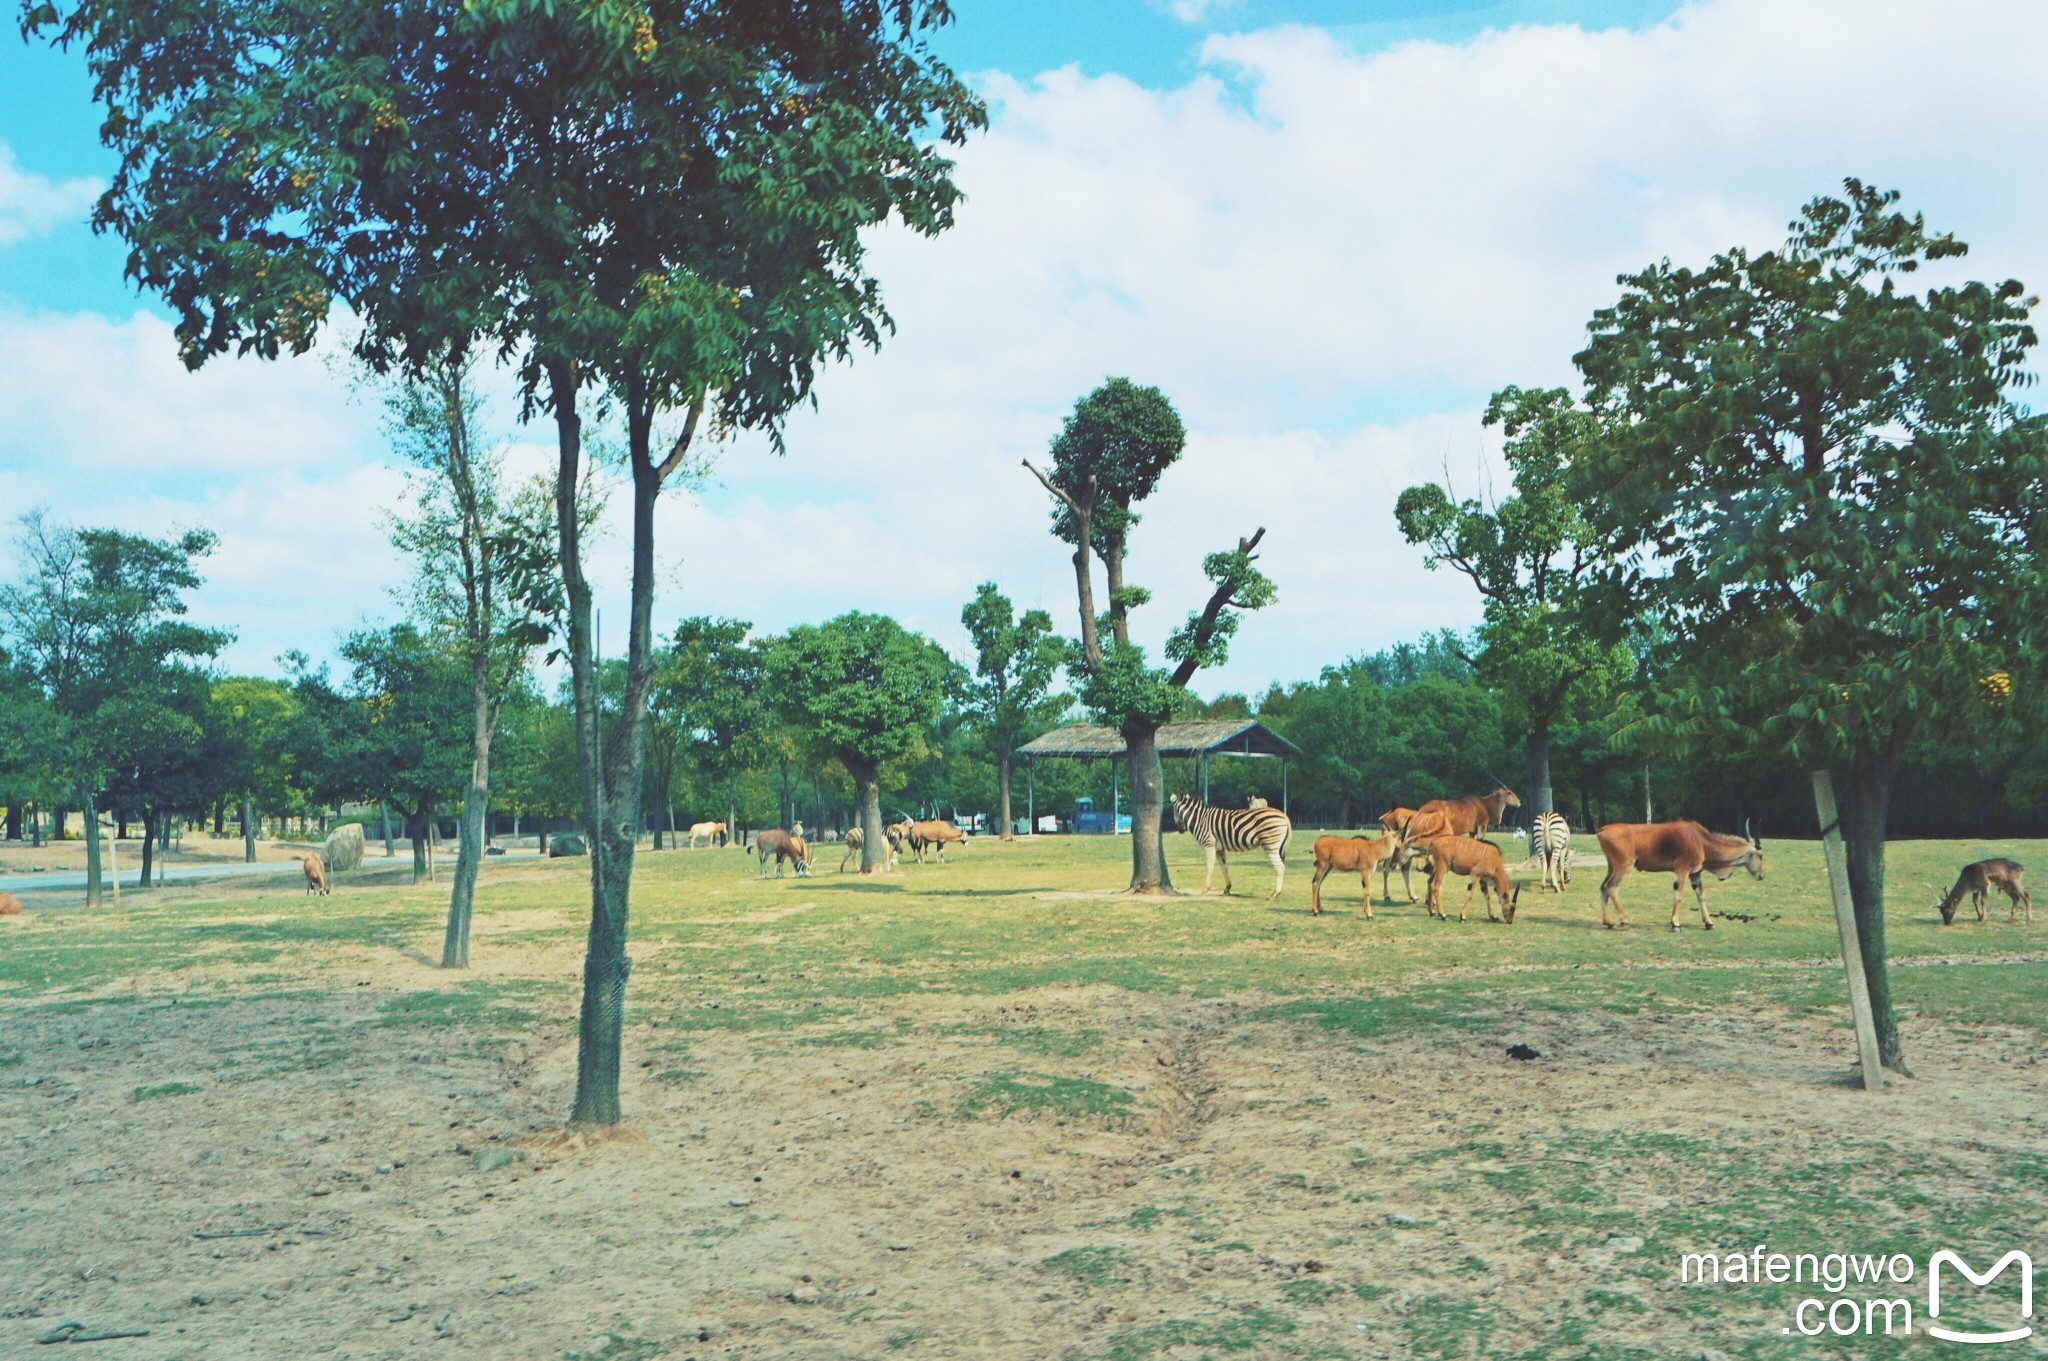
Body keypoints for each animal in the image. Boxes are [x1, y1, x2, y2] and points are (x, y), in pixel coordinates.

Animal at [1589, 822, 1769, 929]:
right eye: (1760, 856)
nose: (1761, 876)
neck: (1701, 841)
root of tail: (1603, 830)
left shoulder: (1695, 874)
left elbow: (1701, 896)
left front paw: (1709, 923)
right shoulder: (1682, 870)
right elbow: (1678, 895)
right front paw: (1675, 923)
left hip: (1611, 867)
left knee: (1603, 888)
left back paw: (1608, 922)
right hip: (1623, 867)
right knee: (1611, 888)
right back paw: (1624, 919)